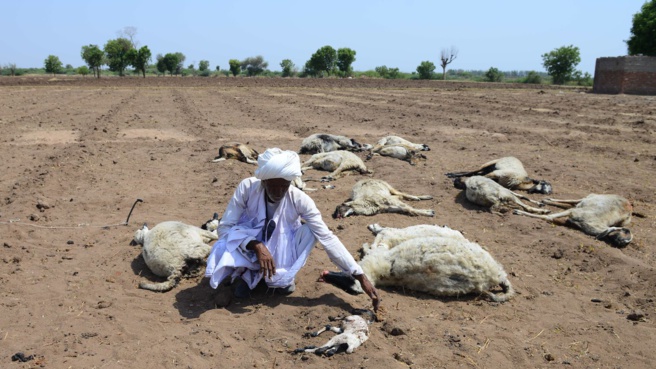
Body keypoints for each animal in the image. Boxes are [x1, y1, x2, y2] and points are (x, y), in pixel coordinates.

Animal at [320, 223, 516, 300]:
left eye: (347, 278)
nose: (325, 275)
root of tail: (496, 276)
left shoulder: (383, 247)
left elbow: (378, 241)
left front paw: (367, 243)